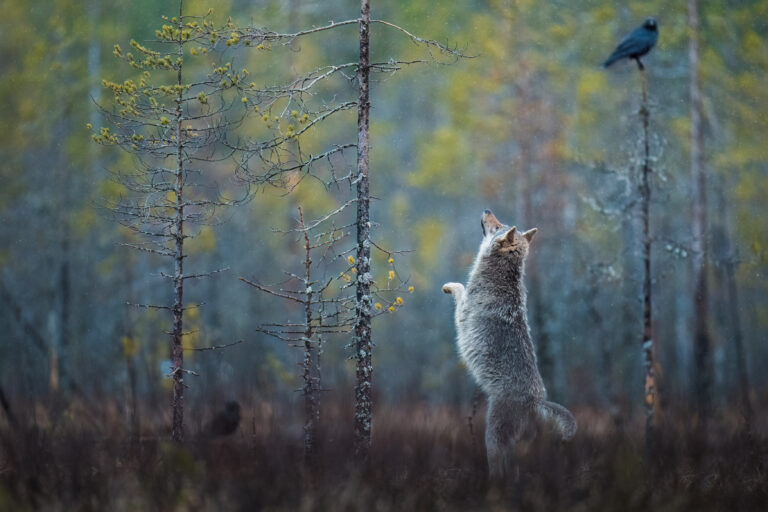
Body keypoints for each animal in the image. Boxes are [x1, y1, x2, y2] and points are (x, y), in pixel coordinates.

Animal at [443, 210, 576, 479]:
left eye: (498, 227)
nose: (486, 210)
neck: (500, 274)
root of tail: (536, 401)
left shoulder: (462, 313)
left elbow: (460, 288)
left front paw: (449, 286)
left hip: (492, 437)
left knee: (499, 469)